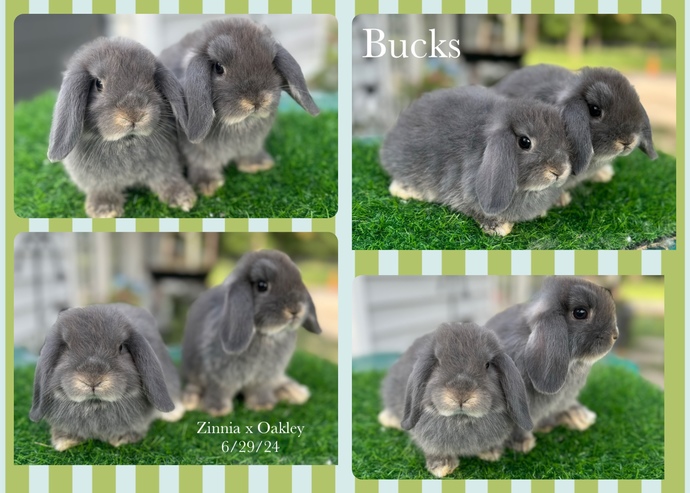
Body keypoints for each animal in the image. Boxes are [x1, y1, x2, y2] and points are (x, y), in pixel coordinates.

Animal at [29, 304, 185, 452]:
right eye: (66, 347)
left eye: (121, 347)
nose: (92, 379)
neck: (94, 405)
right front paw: (64, 442)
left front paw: (122, 439)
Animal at [47, 37, 197, 218]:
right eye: (98, 84)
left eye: (152, 81)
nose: (134, 113)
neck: (126, 142)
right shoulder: (96, 180)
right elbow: (102, 188)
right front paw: (104, 210)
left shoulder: (166, 166)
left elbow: (167, 178)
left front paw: (183, 198)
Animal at [159, 17, 320, 197]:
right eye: (218, 67)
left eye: (272, 62)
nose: (257, 100)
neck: (240, 124)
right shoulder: (197, 152)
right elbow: (203, 164)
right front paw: (208, 185)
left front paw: (258, 164)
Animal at [181, 250, 322, 416]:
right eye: (262, 285)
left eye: (299, 279)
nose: (295, 309)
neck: (266, 335)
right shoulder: (219, 376)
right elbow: (219, 391)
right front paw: (218, 410)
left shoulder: (264, 379)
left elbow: (260, 391)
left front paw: (263, 406)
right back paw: (189, 400)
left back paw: (294, 391)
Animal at [378, 322, 533, 478]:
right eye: (438, 363)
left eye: (487, 365)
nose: (461, 394)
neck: (461, 419)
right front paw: (442, 467)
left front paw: (491, 453)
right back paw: (387, 419)